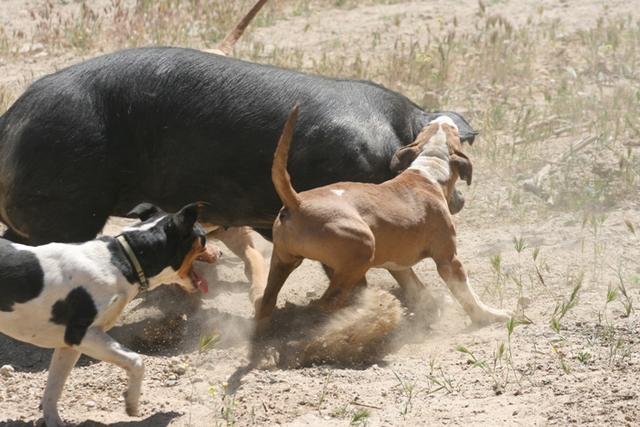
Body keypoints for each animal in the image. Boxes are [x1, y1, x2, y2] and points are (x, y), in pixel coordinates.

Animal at [0, 202, 220, 426]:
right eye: (203, 237)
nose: (220, 252)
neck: (124, 260)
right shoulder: (83, 335)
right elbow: (137, 361)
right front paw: (132, 402)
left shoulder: (68, 346)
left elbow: (53, 390)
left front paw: (53, 419)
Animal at [255, 107, 510, 328]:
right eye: (453, 131)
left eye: (431, 127)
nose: (444, 118)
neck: (429, 168)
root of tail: (297, 202)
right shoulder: (448, 260)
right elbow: (467, 295)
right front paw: (489, 316)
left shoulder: (399, 266)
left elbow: (417, 289)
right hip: (362, 249)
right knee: (328, 302)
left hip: (282, 261)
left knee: (266, 303)